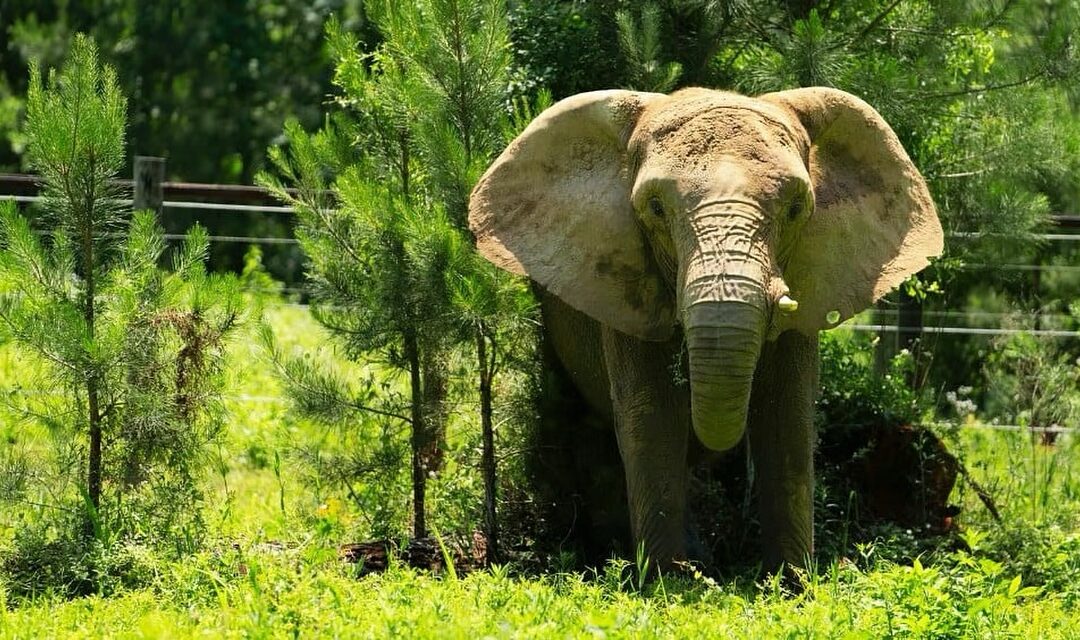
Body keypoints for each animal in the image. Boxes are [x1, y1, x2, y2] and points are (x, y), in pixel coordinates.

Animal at [467, 87, 943, 572]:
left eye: (795, 209)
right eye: (656, 208)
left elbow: (787, 416)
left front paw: (789, 580)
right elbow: (652, 416)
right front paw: (668, 580)